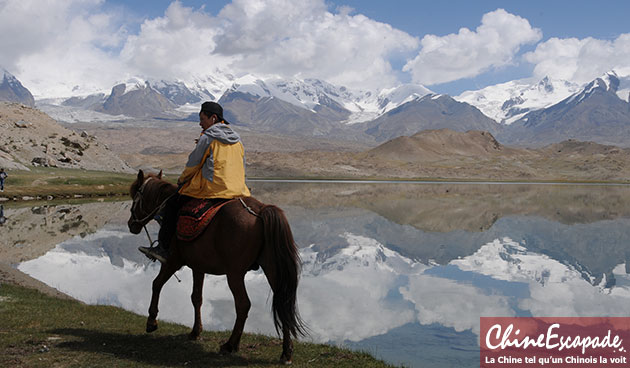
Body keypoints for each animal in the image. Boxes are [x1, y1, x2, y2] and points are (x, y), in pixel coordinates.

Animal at [126, 169, 306, 362]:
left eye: (135, 196)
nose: (131, 225)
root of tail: (261, 210)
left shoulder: (172, 262)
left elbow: (156, 284)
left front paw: (151, 321)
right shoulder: (198, 267)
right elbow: (196, 298)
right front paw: (195, 332)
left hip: (235, 274)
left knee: (243, 305)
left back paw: (230, 345)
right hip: (272, 269)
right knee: (282, 302)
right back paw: (286, 352)